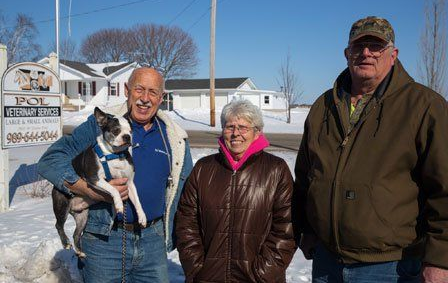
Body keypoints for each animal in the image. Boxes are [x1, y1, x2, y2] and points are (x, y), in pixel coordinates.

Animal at [52, 107, 147, 258]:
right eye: (116, 130)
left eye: (131, 131)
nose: (127, 137)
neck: (115, 155)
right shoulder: (94, 179)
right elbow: (114, 190)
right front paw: (119, 205)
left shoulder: (130, 183)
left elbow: (137, 201)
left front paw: (142, 217)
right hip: (62, 205)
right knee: (58, 225)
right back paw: (66, 243)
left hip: (83, 216)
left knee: (76, 234)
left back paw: (79, 251)